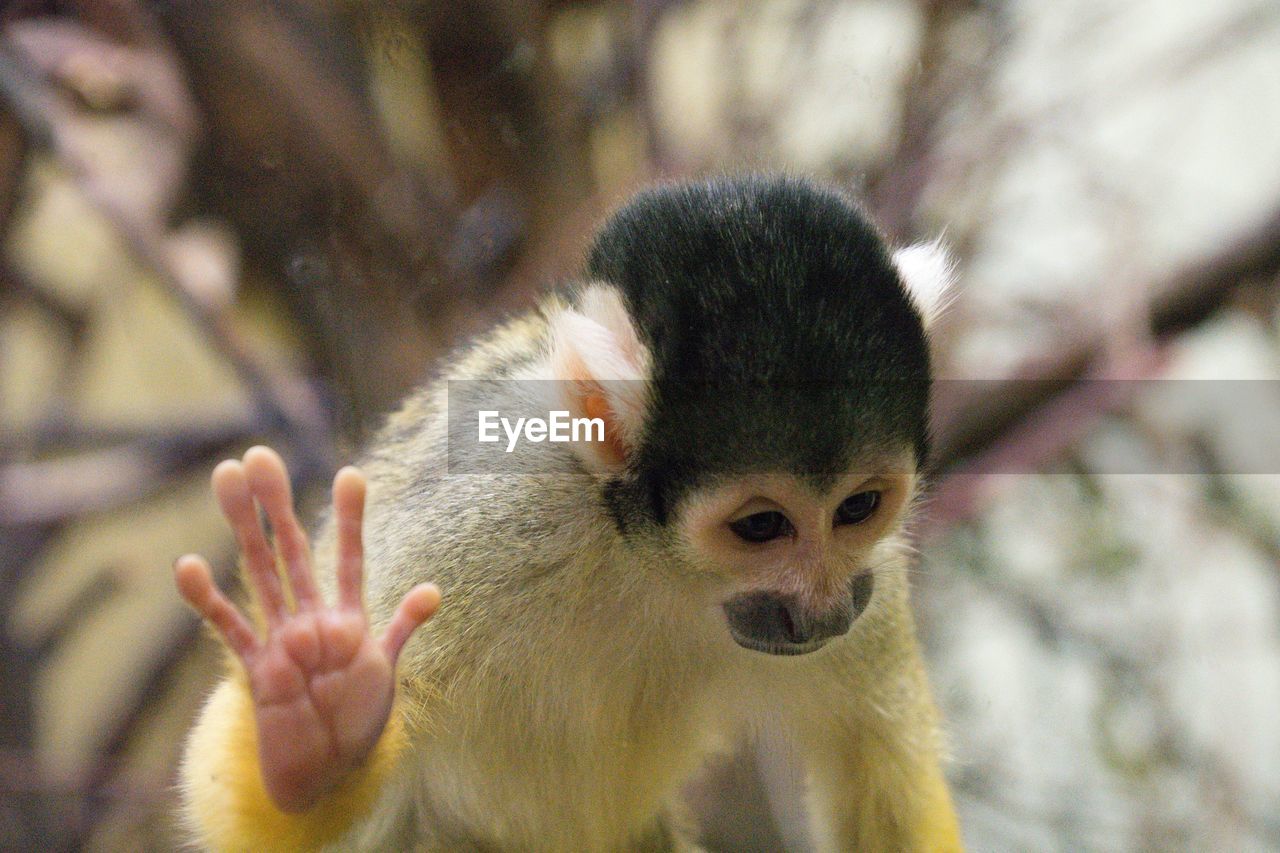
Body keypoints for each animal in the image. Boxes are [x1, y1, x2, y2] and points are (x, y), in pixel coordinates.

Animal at [175, 175, 962, 845]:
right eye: (761, 526)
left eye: (858, 507)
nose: (824, 610)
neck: (653, 562)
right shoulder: (485, 525)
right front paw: (317, 719)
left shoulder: (870, 576)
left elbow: (874, 757)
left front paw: (319, 701)